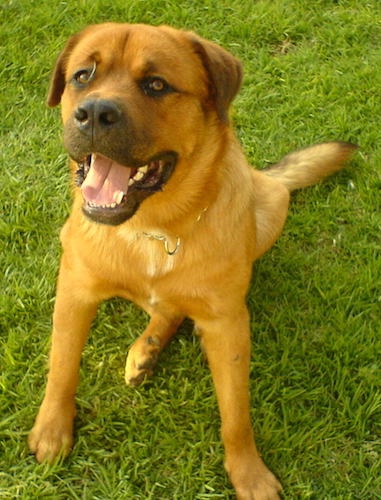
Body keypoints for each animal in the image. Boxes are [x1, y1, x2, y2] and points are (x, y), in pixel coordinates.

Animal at [28, 24, 354, 500]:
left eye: (156, 85)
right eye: (83, 76)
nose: (94, 114)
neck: (154, 228)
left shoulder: (228, 325)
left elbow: (236, 413)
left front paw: (248, 473)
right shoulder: (74, 287)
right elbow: (62, 364)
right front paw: (52, 429)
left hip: (272, 207)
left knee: (174, 307)